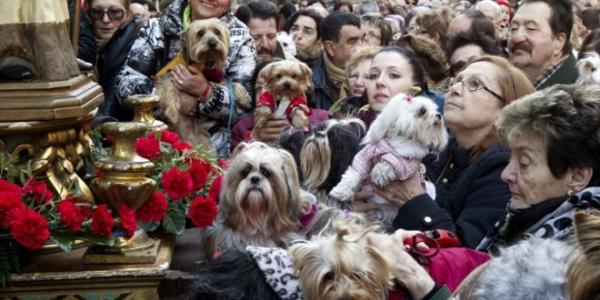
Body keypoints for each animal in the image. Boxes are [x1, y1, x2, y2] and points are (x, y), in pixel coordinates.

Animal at [330, 94, 448, 225]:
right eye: (422, 111)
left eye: (436, 109)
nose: (439, 115)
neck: (399, 140)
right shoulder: (365, 155)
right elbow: (354, 173)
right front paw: (341, 191)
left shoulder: (408, 162)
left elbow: (391, 162)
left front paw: (379, 173)